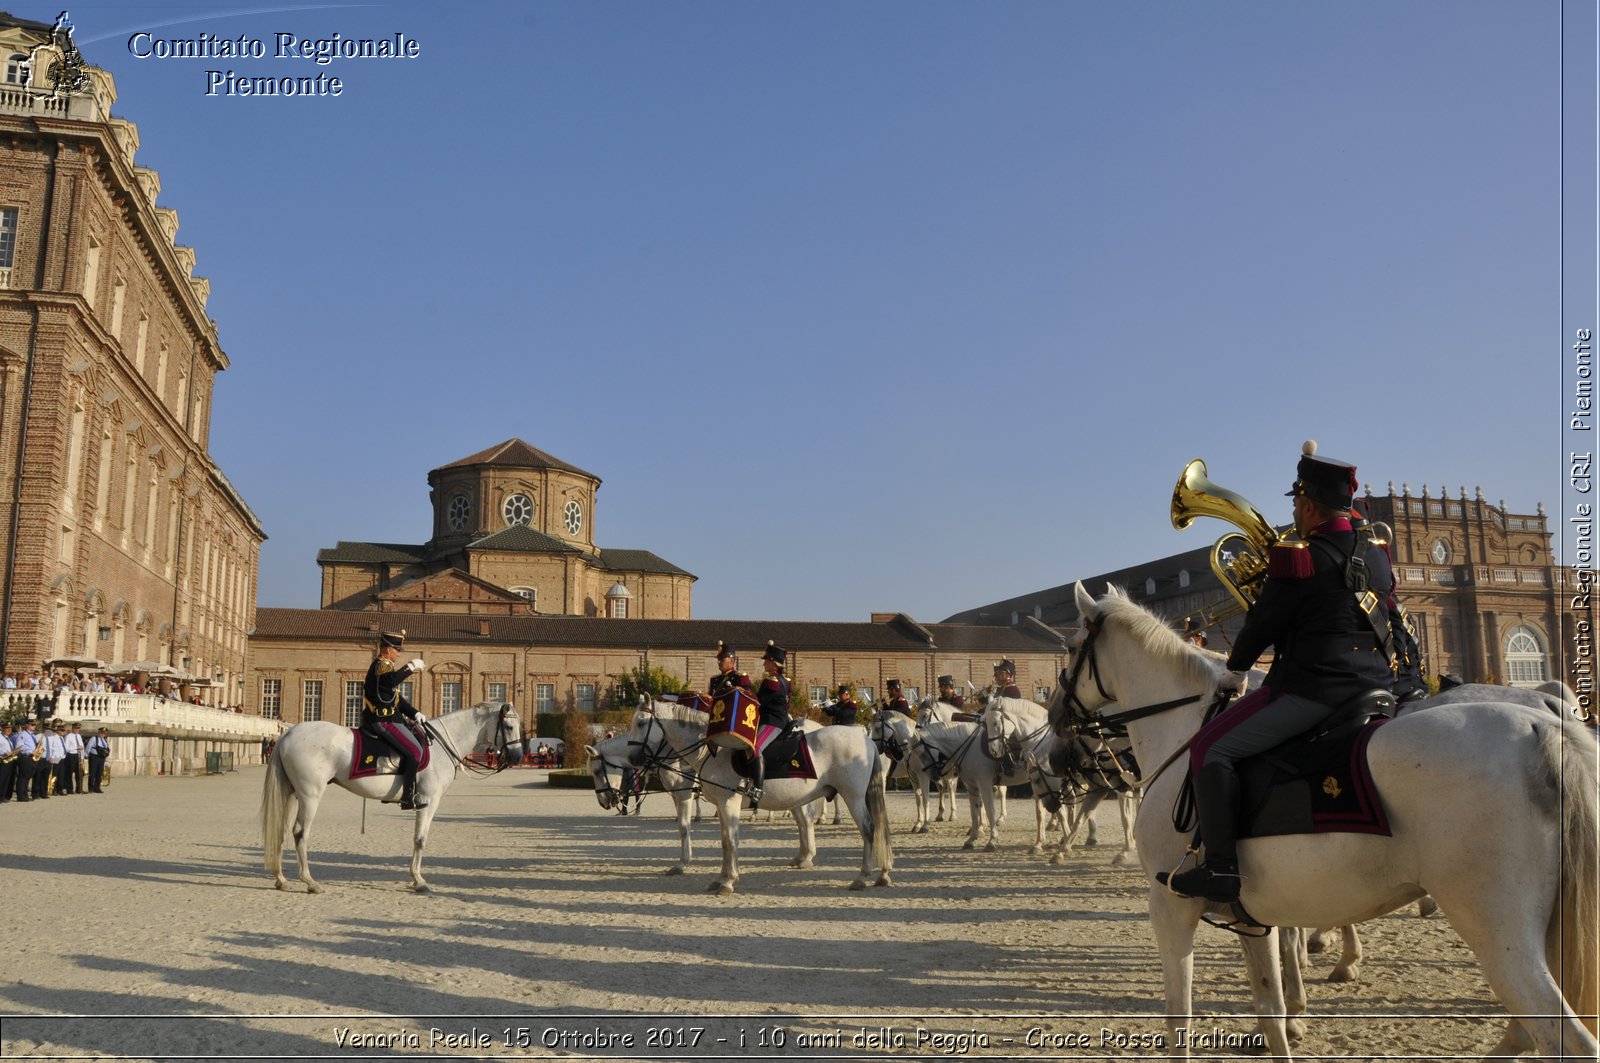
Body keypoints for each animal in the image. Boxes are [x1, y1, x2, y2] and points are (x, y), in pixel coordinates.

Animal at [260, 701, 524, 890]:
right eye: (510, 727)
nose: (518, 757)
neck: (440, 746)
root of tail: (288, 733)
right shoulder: (429, 801)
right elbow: (420, 839)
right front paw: (418, 880)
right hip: (310, 795)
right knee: (300, 833)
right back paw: (309, 881)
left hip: (292, 794)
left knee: (281, 831)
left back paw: (281, 879)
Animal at [624, 704, 896, 896]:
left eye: (641, 722)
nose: (633, 758)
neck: (713, 750)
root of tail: (866, 739)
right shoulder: (721, 805)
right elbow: (724, 841)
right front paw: (721, 878)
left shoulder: (727, 802)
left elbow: (729, 840)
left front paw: (728, 881)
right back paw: (882, 875)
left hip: (853, 796)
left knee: (869, 829)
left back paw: (862, 877)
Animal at [1056, 585, 1593, 1056]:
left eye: (1071, 648)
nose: (1059, 723)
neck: (1185, 731)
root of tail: (1541, 724)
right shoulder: (1252, 918)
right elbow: (1269, 1007)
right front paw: (1294, 1016)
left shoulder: (1170, 907)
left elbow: (1179, 1018)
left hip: (1496, 932)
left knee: (1559, 1035)